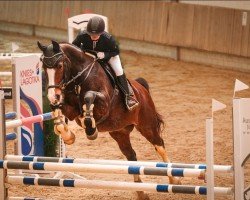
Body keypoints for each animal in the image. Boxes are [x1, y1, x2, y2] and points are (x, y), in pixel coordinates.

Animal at [37, 40, 182, 195]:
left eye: (59, 66)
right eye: (44, 68)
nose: (53, 96)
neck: (79, 78)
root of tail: (142, 88)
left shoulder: (104, 103)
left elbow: (89, 97)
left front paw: (90, 129)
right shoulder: (70, 110)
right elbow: (58, 112)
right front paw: (68, 136)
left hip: (146, 126)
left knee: (159, 145)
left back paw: (174, 180)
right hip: (119, 132)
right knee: (131, 155)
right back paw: (140, 190)